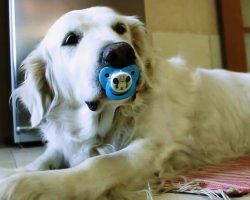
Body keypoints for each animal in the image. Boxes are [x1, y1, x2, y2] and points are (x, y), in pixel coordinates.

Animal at [0, 6, 250, 200]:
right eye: (71, 39)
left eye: (120, 28)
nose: (120, 52)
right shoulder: (66, 143)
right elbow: (45, 158)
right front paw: (17, 172)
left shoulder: (153, 147)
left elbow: (101, 162)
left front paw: (28, 184)